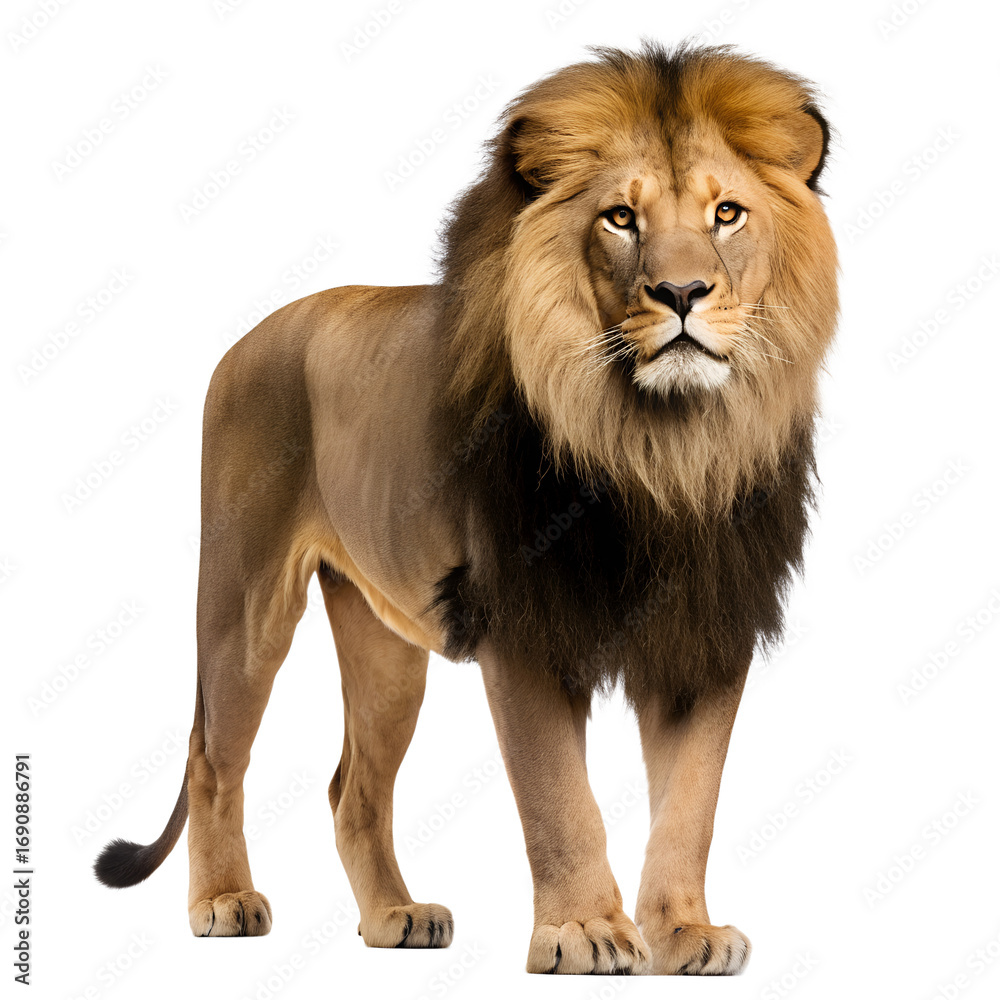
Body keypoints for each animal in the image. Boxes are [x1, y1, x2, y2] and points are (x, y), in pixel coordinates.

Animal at [94, 42, 838, 976]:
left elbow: (689, 805)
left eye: (727, 213)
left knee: (352, 788)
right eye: (620, 219)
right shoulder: (522, 622)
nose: (682, 292)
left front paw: (683, 933)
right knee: (210, 759)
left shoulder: (707, 628)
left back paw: (396, 917)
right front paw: (586, 932)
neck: (659, 446)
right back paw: (225, 901)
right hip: (244, 600)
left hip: (384, 643)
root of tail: (248, 337)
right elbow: (559, 797)